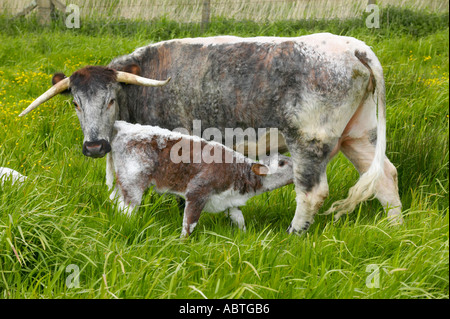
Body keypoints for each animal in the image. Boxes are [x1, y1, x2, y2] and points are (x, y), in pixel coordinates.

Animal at [107, 121, 294, 236]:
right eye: (282, 163)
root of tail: (123, 126)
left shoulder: (229, 200)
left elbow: (239, 219)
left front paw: (244, 236)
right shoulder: (197, 191)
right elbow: (189, 224)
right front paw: (182, 243)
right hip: (133, 181)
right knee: (127, 209)